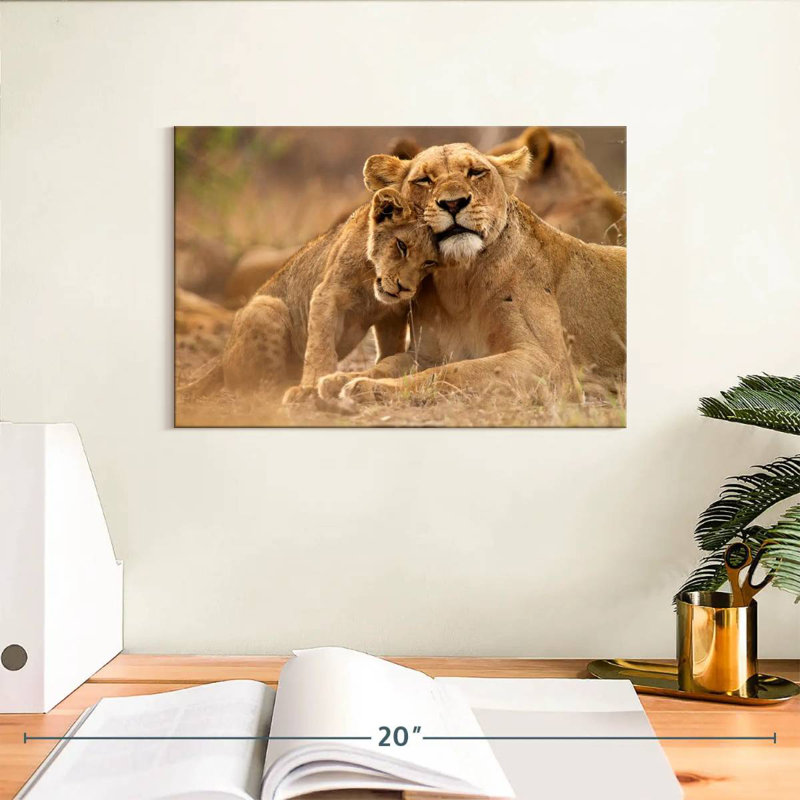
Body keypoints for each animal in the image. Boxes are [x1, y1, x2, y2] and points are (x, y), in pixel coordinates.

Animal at [177, 188, 439, 401]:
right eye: (401, 246)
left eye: (429, 262)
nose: (404, 288)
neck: (371, 284)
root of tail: (220, 361)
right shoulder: (327, 294)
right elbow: (320, 346)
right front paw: (311, 386)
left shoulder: (392, 313)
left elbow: (390, 349)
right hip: (265, 307)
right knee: (257, 389)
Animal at [317, 143, 626, 406]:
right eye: (424, 180)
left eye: (476, 172)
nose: (453, 203)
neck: (458, 281)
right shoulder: (426, 353)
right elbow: (387, 364)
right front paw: (339, 379)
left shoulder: (549, 364)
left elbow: (454, 372)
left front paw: (369, 389)